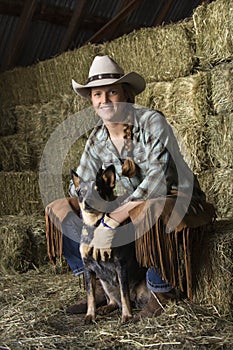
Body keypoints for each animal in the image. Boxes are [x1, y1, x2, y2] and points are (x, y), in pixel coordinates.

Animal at [71, 165, 149, 324]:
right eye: (81, 192)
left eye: (99, 190)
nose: (87, 202)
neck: (95, 226)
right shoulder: (87, 266)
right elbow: (90, 296)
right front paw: (90, 315)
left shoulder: (120, 264)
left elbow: (124, 293)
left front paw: (127, 315)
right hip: (105, 284)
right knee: (113, 300)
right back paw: (105, 308)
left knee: (128, 298)